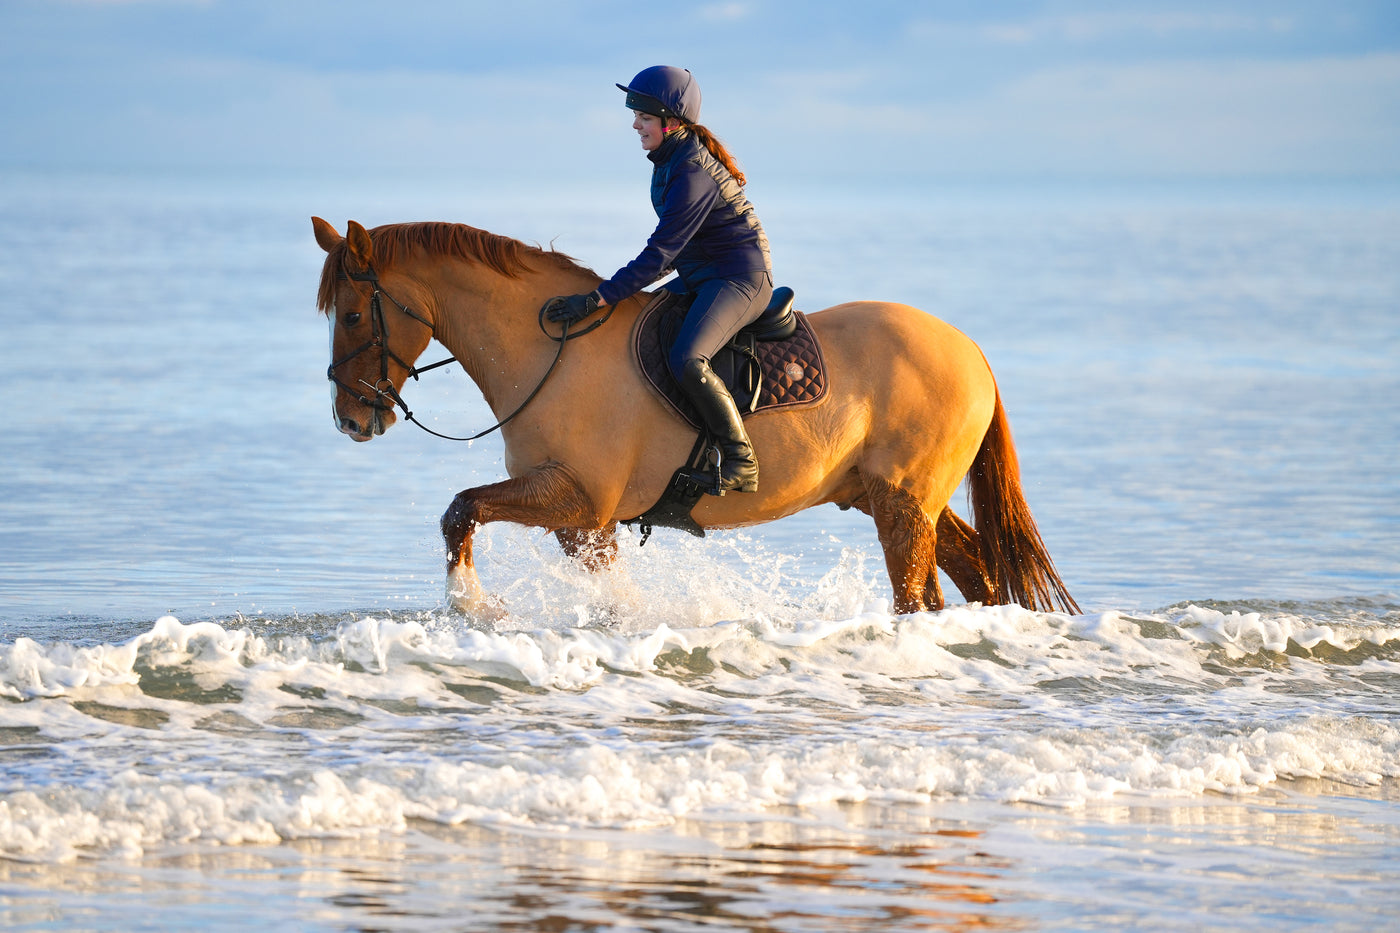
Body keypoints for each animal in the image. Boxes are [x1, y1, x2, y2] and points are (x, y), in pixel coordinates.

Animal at [315, 214, 1080, 613]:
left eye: (351, 314)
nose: (351, 419)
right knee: (975, 578)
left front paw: (473, 603)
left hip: (902, 504)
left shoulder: (576, 498)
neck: (551, 349)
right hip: (891, 497)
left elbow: (461, 508)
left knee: (921, 598)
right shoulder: (583, 523)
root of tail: (969, 349)